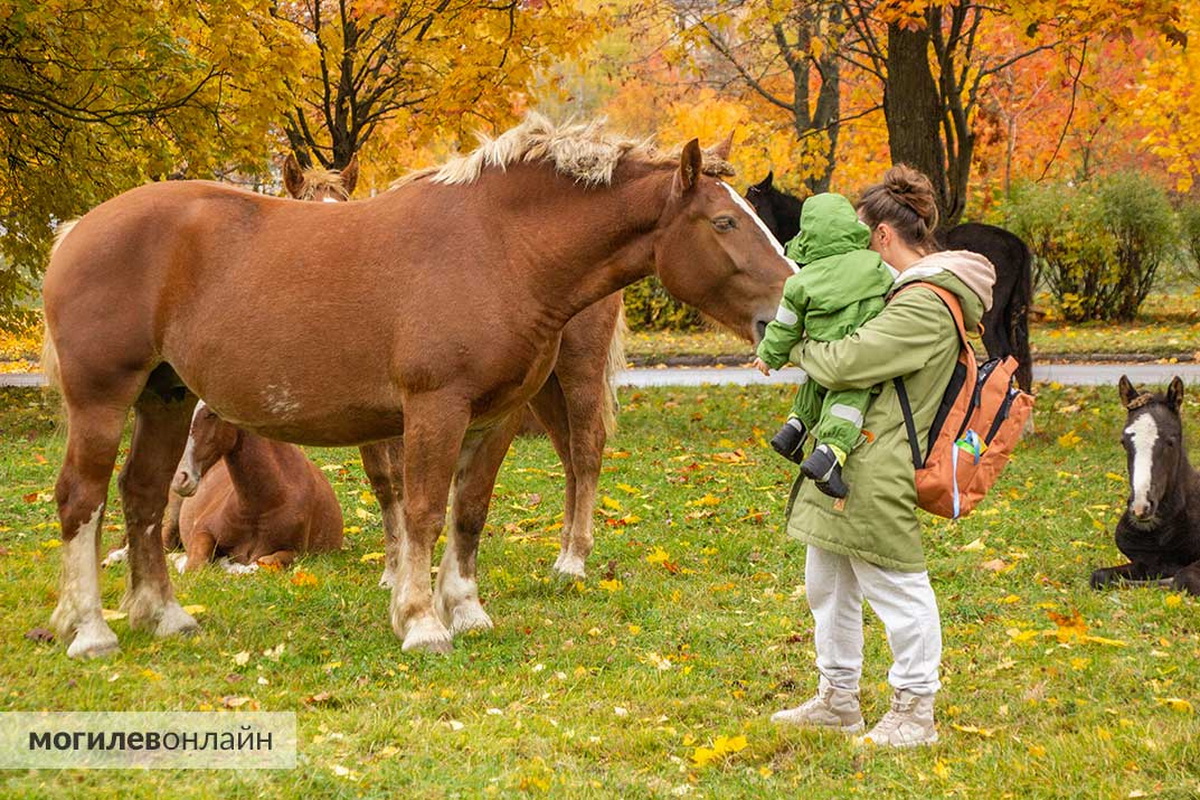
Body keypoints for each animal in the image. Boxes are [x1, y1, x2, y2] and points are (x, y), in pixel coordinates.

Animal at [284, 151, 628, 587]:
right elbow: (383, 483)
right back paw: (563, 551)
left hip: (578, 369)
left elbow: (403, 485)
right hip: (542, 388)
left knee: (586, 448)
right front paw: (392, 569)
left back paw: (576, 558)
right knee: (567, 453)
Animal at [1094, 379, 1200, 597]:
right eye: (1124, 442)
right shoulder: (1147, 561)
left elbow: (1184, 578)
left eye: (1170, 441)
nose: (1140, 507)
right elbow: (1099, 576)